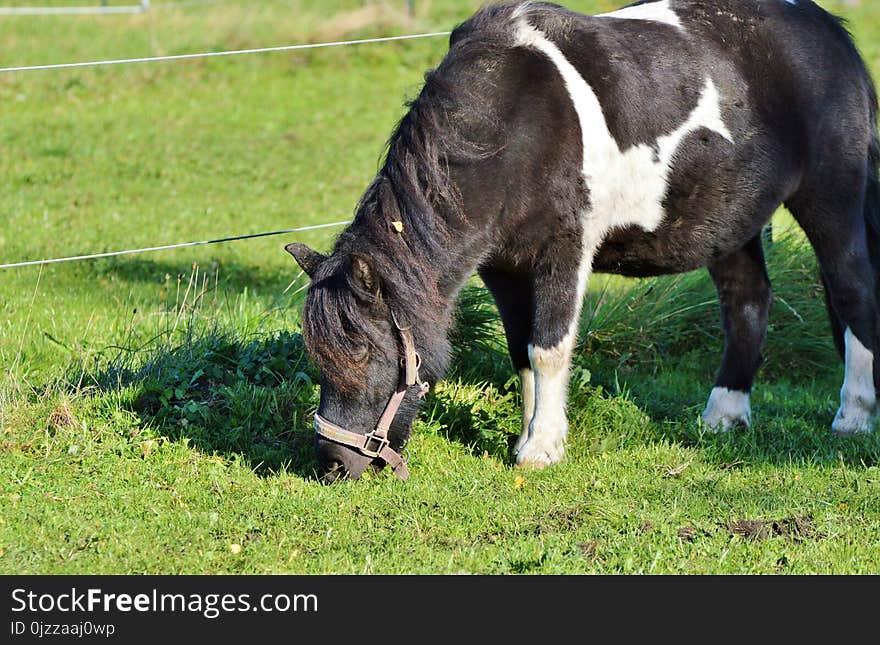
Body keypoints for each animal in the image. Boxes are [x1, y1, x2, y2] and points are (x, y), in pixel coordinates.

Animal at [286, 0, 876, 480]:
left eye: (366, 351)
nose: (333, 463)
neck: (513, 121)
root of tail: (831, 32)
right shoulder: (503, 268)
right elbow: (520, 351)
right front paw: (527, 437)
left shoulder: (562, 253)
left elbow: (548, 349)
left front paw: (542, 450)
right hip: (732, 224)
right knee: (747, 301)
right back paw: (723, 417)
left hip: (832, 199)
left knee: (853, 294)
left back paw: (853, 417)